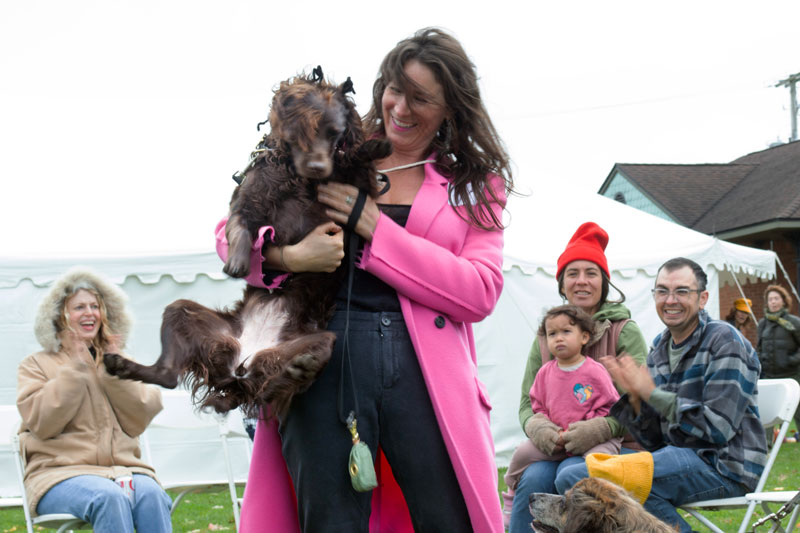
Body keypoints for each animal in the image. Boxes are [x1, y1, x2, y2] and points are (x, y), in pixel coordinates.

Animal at [104, 67, 392, 416]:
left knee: (287, 377)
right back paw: (120, 364)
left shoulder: (351, 192)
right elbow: (239, 225)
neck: (299, 177)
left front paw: (374, 148)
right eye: (300, 131)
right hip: (185, 313)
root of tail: (242, 366)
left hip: (321, 340)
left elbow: (356, 164)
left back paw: (298, 370)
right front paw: (238, 262)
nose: (318, 166)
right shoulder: (251, 196)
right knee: (169, 373)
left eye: (334, 131)